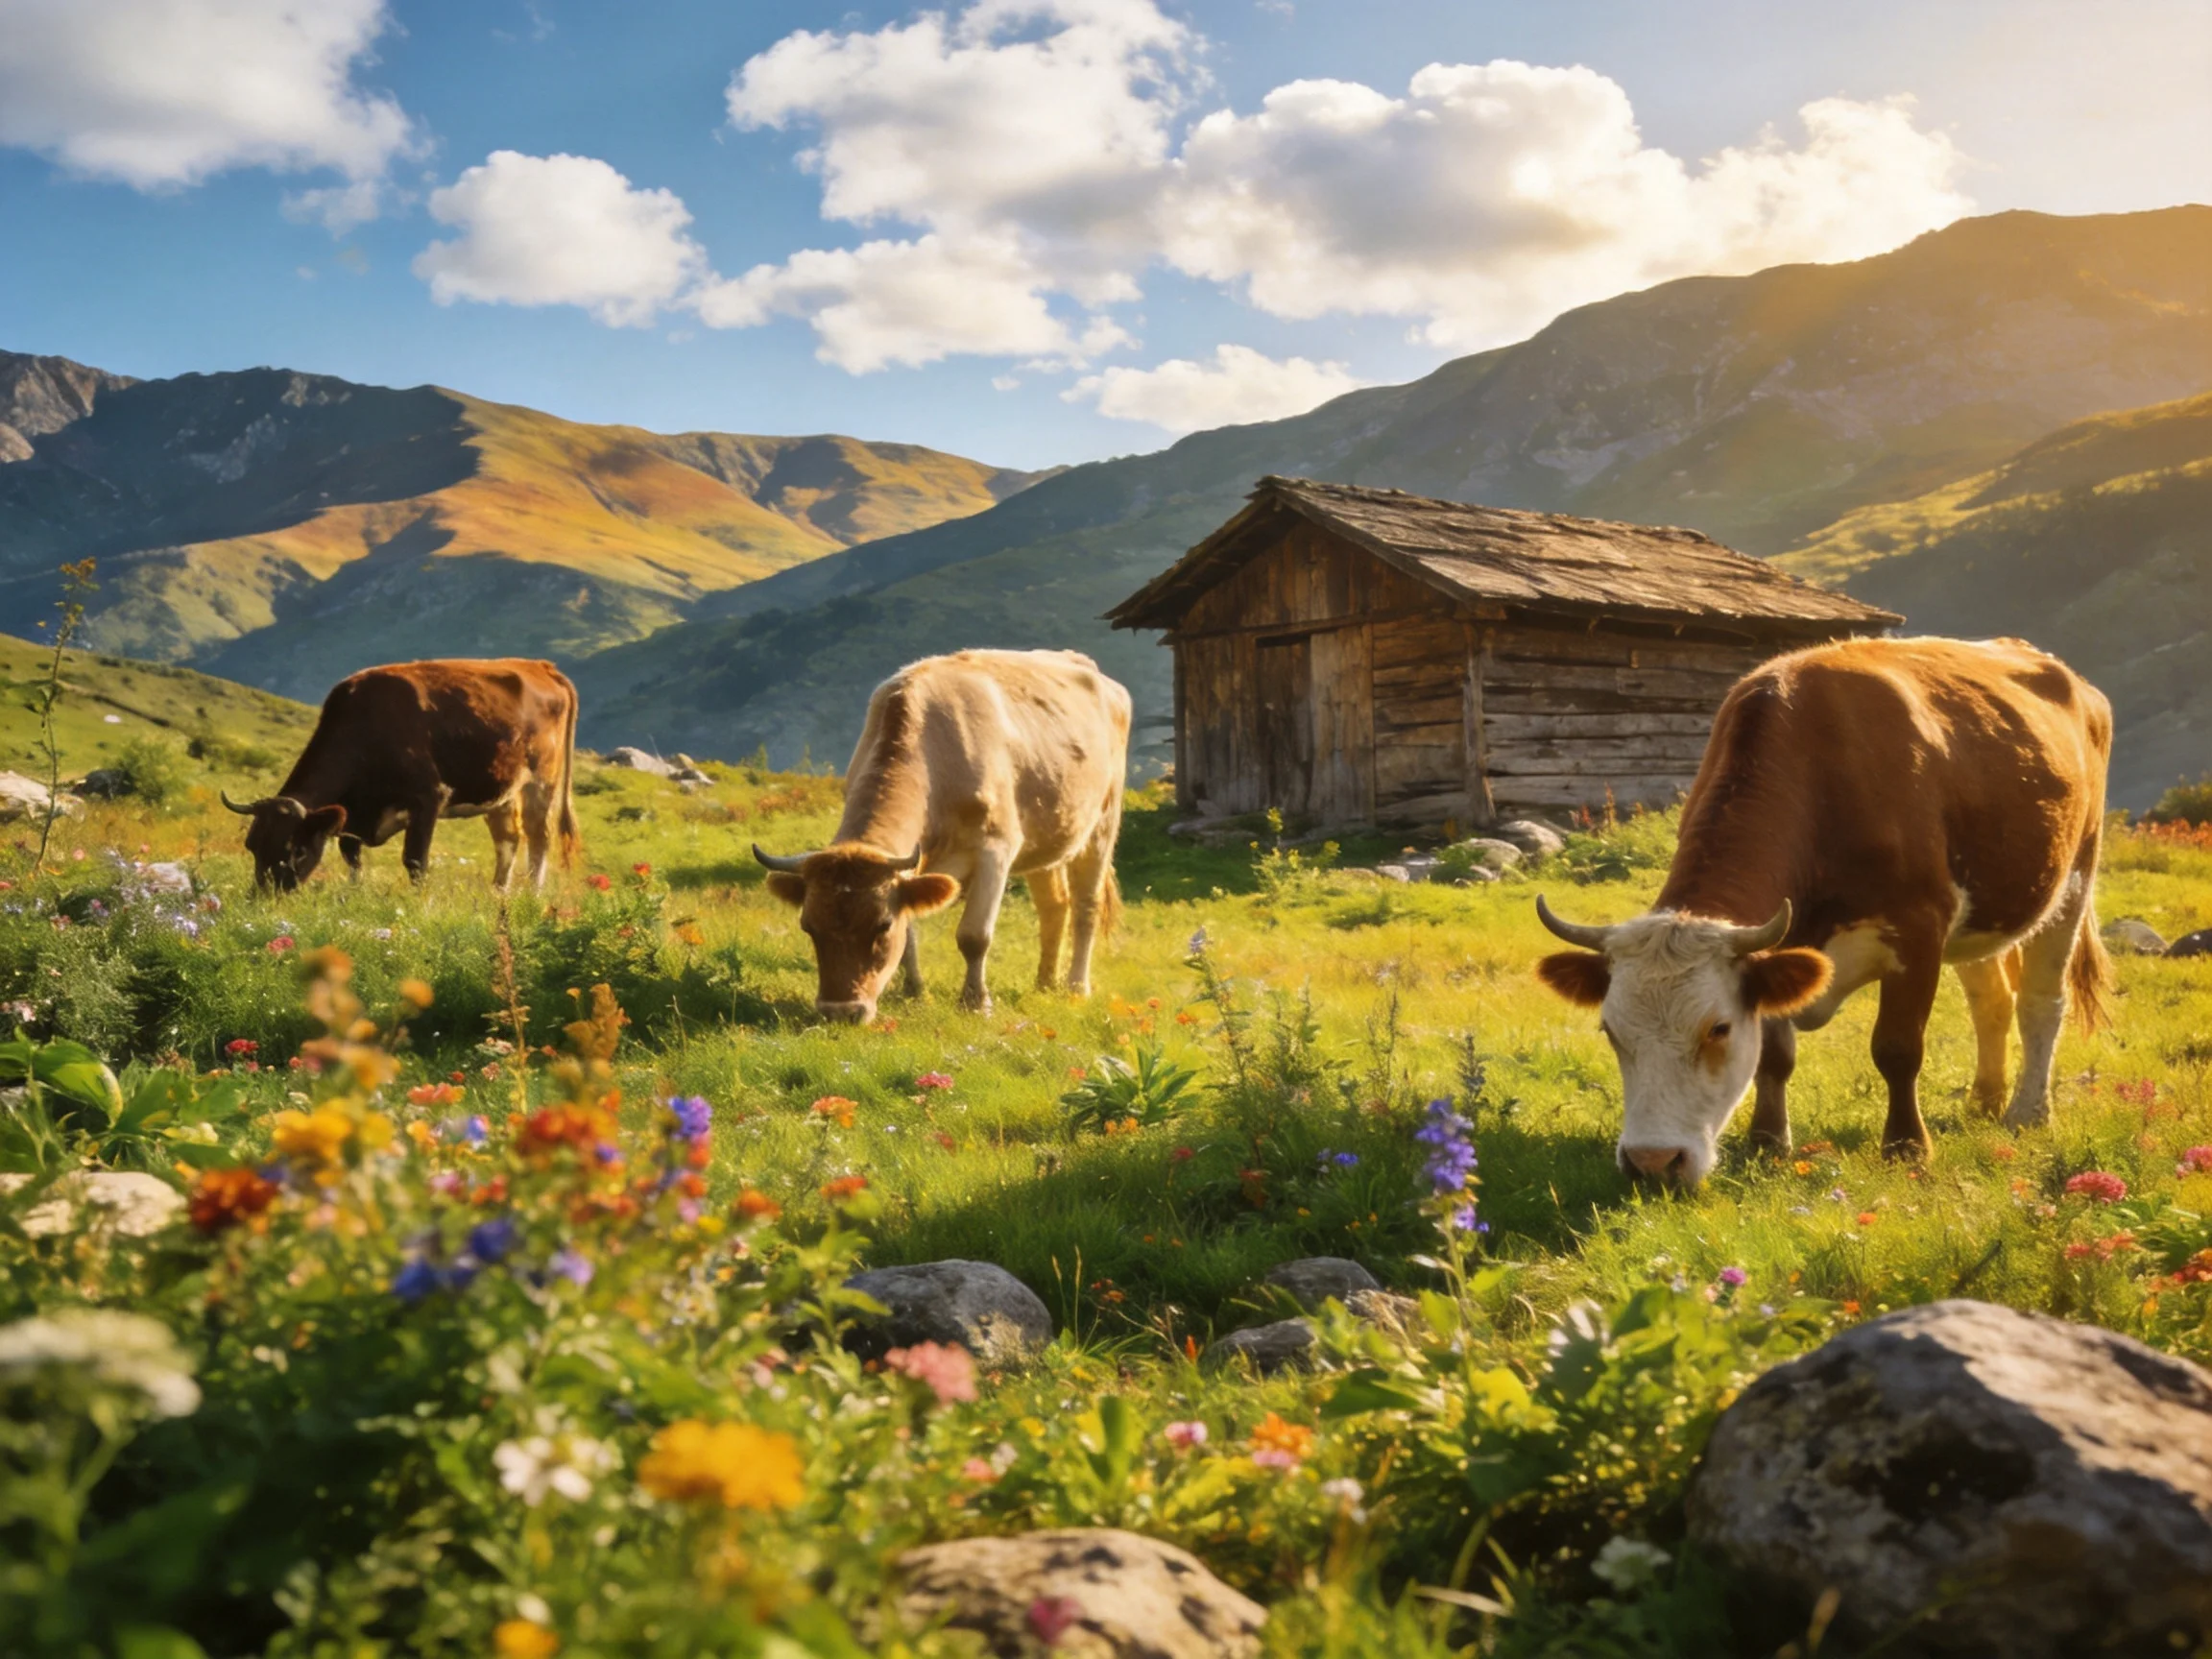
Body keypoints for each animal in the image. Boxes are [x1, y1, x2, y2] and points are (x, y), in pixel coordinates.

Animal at [223, 658, 580, 893]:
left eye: (294, 850)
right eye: (252, 846)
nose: (264, 896)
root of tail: (540, 665)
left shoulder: (429, 798)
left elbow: (415, 862)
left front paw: (420, 905)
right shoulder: (352, 818)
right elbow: (352, 858)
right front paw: (354, 895)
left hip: (542, 780)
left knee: (539, 837)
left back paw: (532, 895)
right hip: (500, 788)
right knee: (509, 838)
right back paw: (498, 894)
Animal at [754, 649, 1130, 1024]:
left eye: (882, 926)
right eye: (808, 926)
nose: (840, 1012)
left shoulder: (996, 849)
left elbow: (974, 935)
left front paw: (976, 1002)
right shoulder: (911, 870)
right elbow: (911, 936)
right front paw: (915, 993)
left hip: (1103, 824)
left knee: (1086, 906)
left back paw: (1076, 988)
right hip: (1049, 837)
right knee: (1055, 905)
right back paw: (1044, 983)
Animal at [1532, 636, 2113, 1188]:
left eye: (1718, 1028)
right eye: (1611, 1031)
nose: (1652, 1162)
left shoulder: (1917, 931)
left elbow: (1897, 1048)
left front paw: (1907, 1147)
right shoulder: (1779, 950)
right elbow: (1774, 1056)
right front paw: (1768, 1141)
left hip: (2075, 875)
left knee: (2040, 1003)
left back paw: (2027, 1113)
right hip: (1980, 917)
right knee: (1991, 999)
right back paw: (1984, 1102)